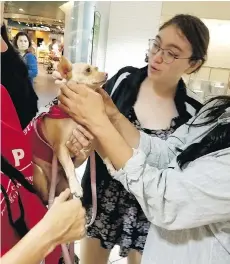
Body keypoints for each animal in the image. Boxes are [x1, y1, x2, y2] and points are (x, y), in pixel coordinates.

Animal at [27, 57, 108, 202]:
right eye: (88, 70)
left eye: (97, 68)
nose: (106, 74)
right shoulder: (60, 147)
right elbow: (69, 165)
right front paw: (76, 186)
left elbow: (78, 159)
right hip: (38, 172)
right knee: (45, 197)